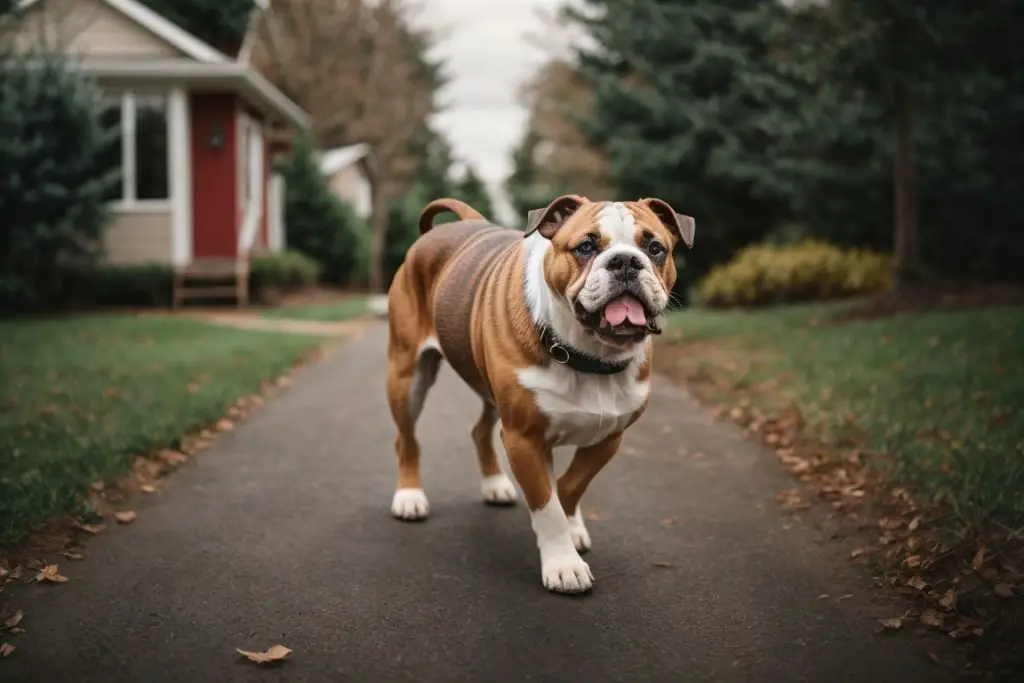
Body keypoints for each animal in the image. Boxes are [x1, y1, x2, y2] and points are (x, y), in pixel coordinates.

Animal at [385, 193, 696, 593]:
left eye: (655, 248)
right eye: (586, 246)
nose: (626, 261)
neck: (587, 353)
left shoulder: (607, 437)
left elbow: (570, 486)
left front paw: (571, 526)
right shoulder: (524, 438)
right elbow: (547, 503)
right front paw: (564, 563)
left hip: (490, 391)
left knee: (479, 430)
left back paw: (495, 484)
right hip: (408, 376)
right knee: (406, 438)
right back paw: (409, 497)